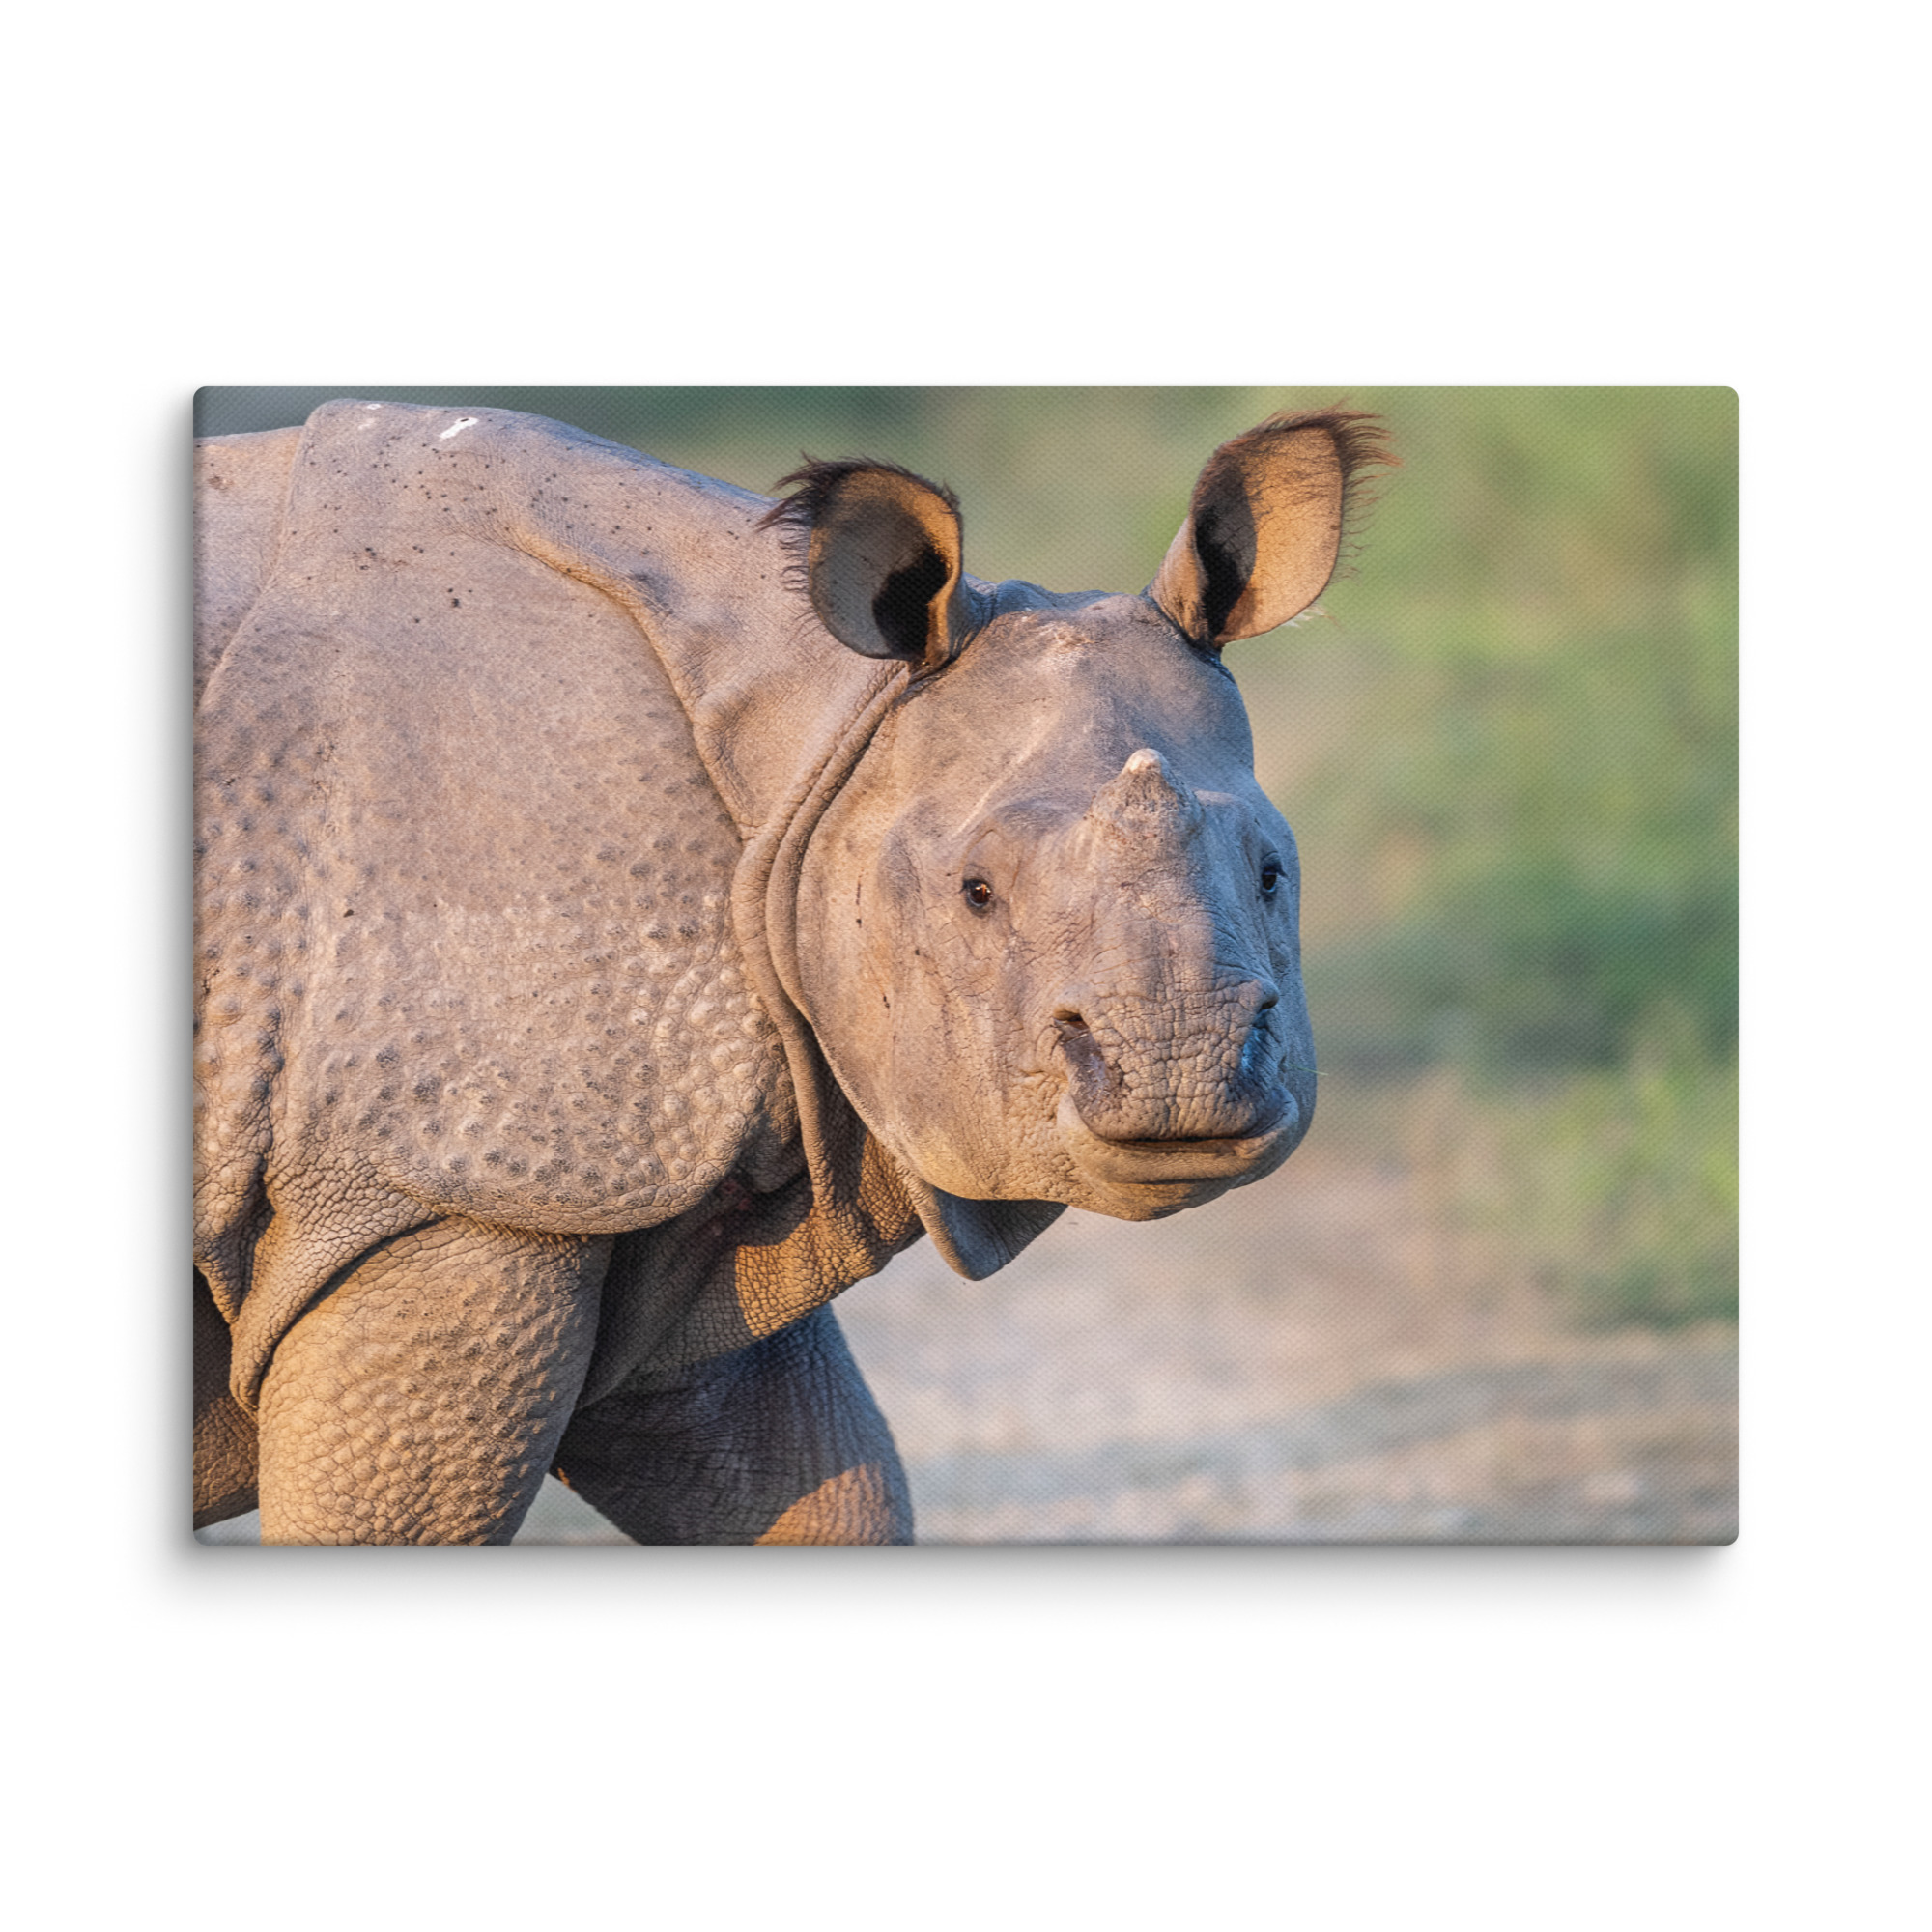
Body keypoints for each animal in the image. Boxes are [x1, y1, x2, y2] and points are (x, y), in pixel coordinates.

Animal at [193, 397, 1387, 1544]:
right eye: (976, 893)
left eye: (1272, 873)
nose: (1181, 1074)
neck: (824, 736)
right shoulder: (453, 1188)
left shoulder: (656, 1205)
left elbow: (821, 1491)